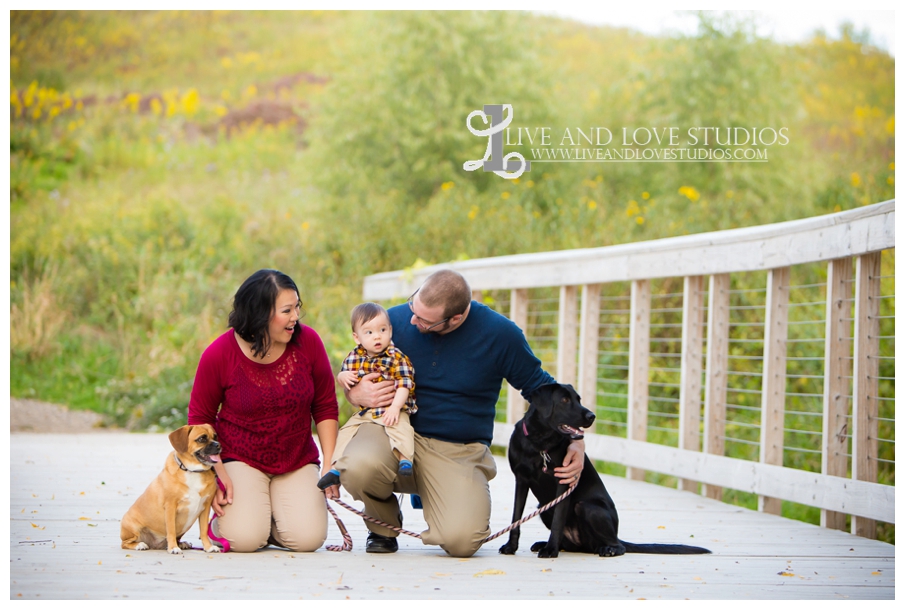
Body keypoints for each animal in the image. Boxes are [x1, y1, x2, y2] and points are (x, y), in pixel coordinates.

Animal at [120, 422, 222, 552]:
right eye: (202, 439)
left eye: (215, 436)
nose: (218, 445)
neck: (192, 471)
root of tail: (155, 545)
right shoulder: (170, 507)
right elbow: (171, 530)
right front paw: (173, 548)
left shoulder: (206, 507)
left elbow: (204, 531)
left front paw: (208, 547)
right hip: (132, 527)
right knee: (125, 543)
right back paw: (140, 545)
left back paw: (181, 544)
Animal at [498, 382, 708, 560]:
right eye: (565, 400)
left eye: (579, 399)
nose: (592, 416)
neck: (539, 443)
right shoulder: (521, 480)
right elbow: (516, 517)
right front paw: (511, 547)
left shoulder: (564, 482)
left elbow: (558, 521)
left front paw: (550, 551)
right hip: (543, 508)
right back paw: (546, 544)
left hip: (588, 507)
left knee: (617, 545)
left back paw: (607, 549)